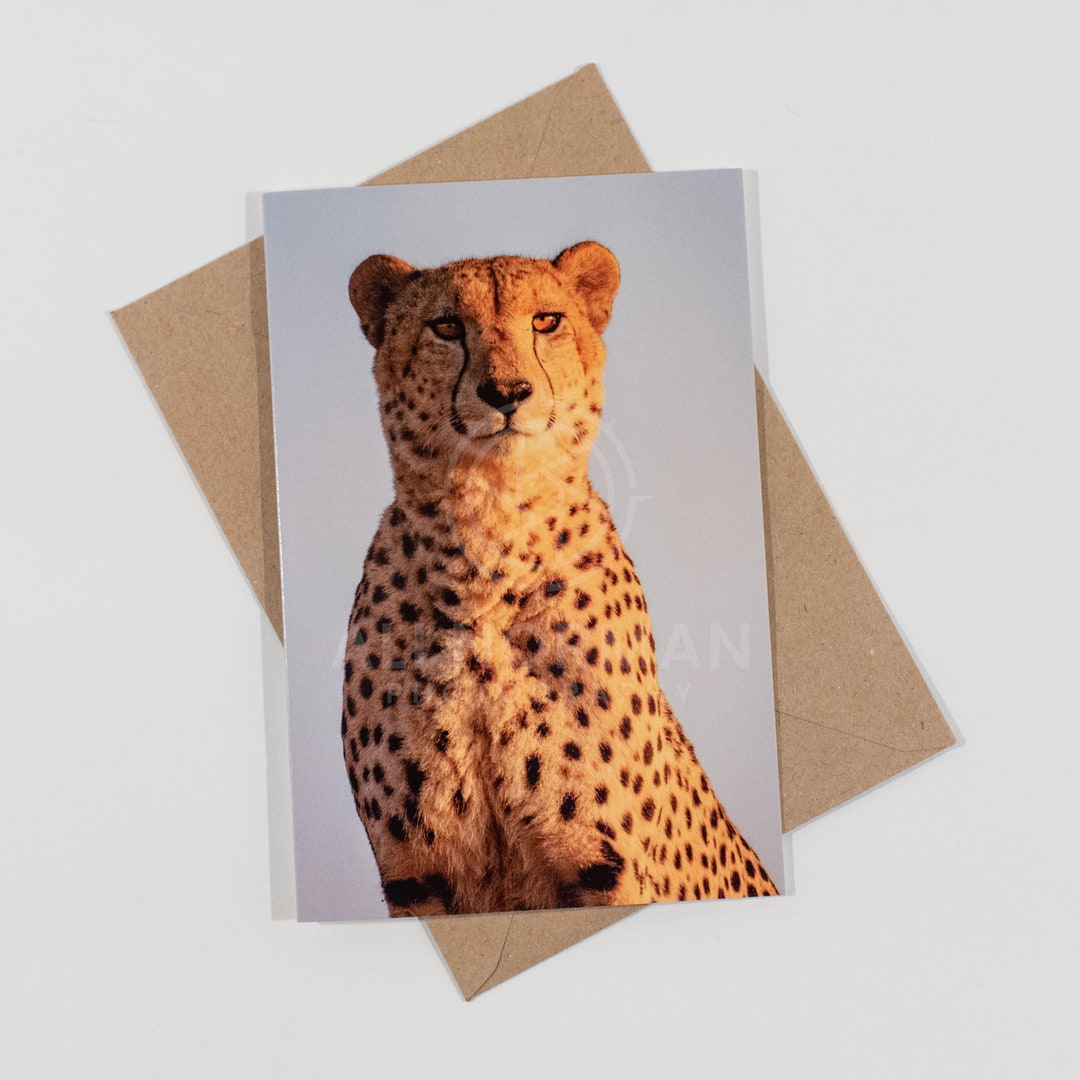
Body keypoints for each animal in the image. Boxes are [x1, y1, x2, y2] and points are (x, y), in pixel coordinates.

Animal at [340, 240, 778, 917]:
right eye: (447, 327)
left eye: (545, 321)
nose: (506, 392)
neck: (486, 546)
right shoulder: (415, 874)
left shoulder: (601, 867)